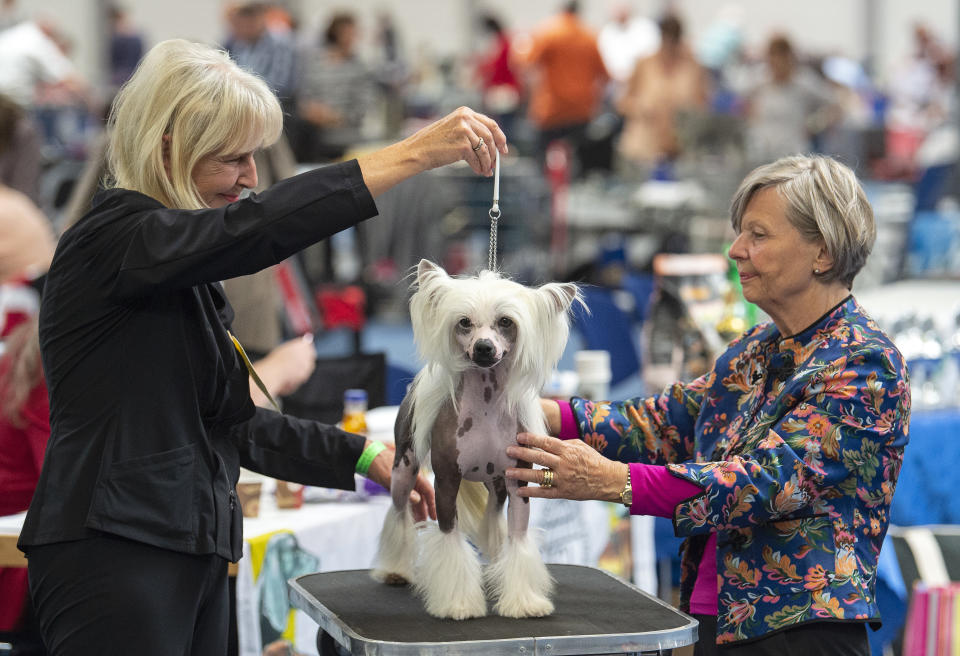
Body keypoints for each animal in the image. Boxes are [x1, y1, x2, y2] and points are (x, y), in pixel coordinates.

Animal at [372, 258, 580, 616]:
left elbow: (518, 538)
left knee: (494, 517)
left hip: (496, 485)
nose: (484, 347)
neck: (485, 404)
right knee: (400, 511)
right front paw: (457, 603)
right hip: (404, 467)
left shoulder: (518, 482)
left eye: (505, 322)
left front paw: (523, 601)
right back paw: (395, 569)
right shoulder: (445, 481)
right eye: (464, 323)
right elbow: (450, 539)